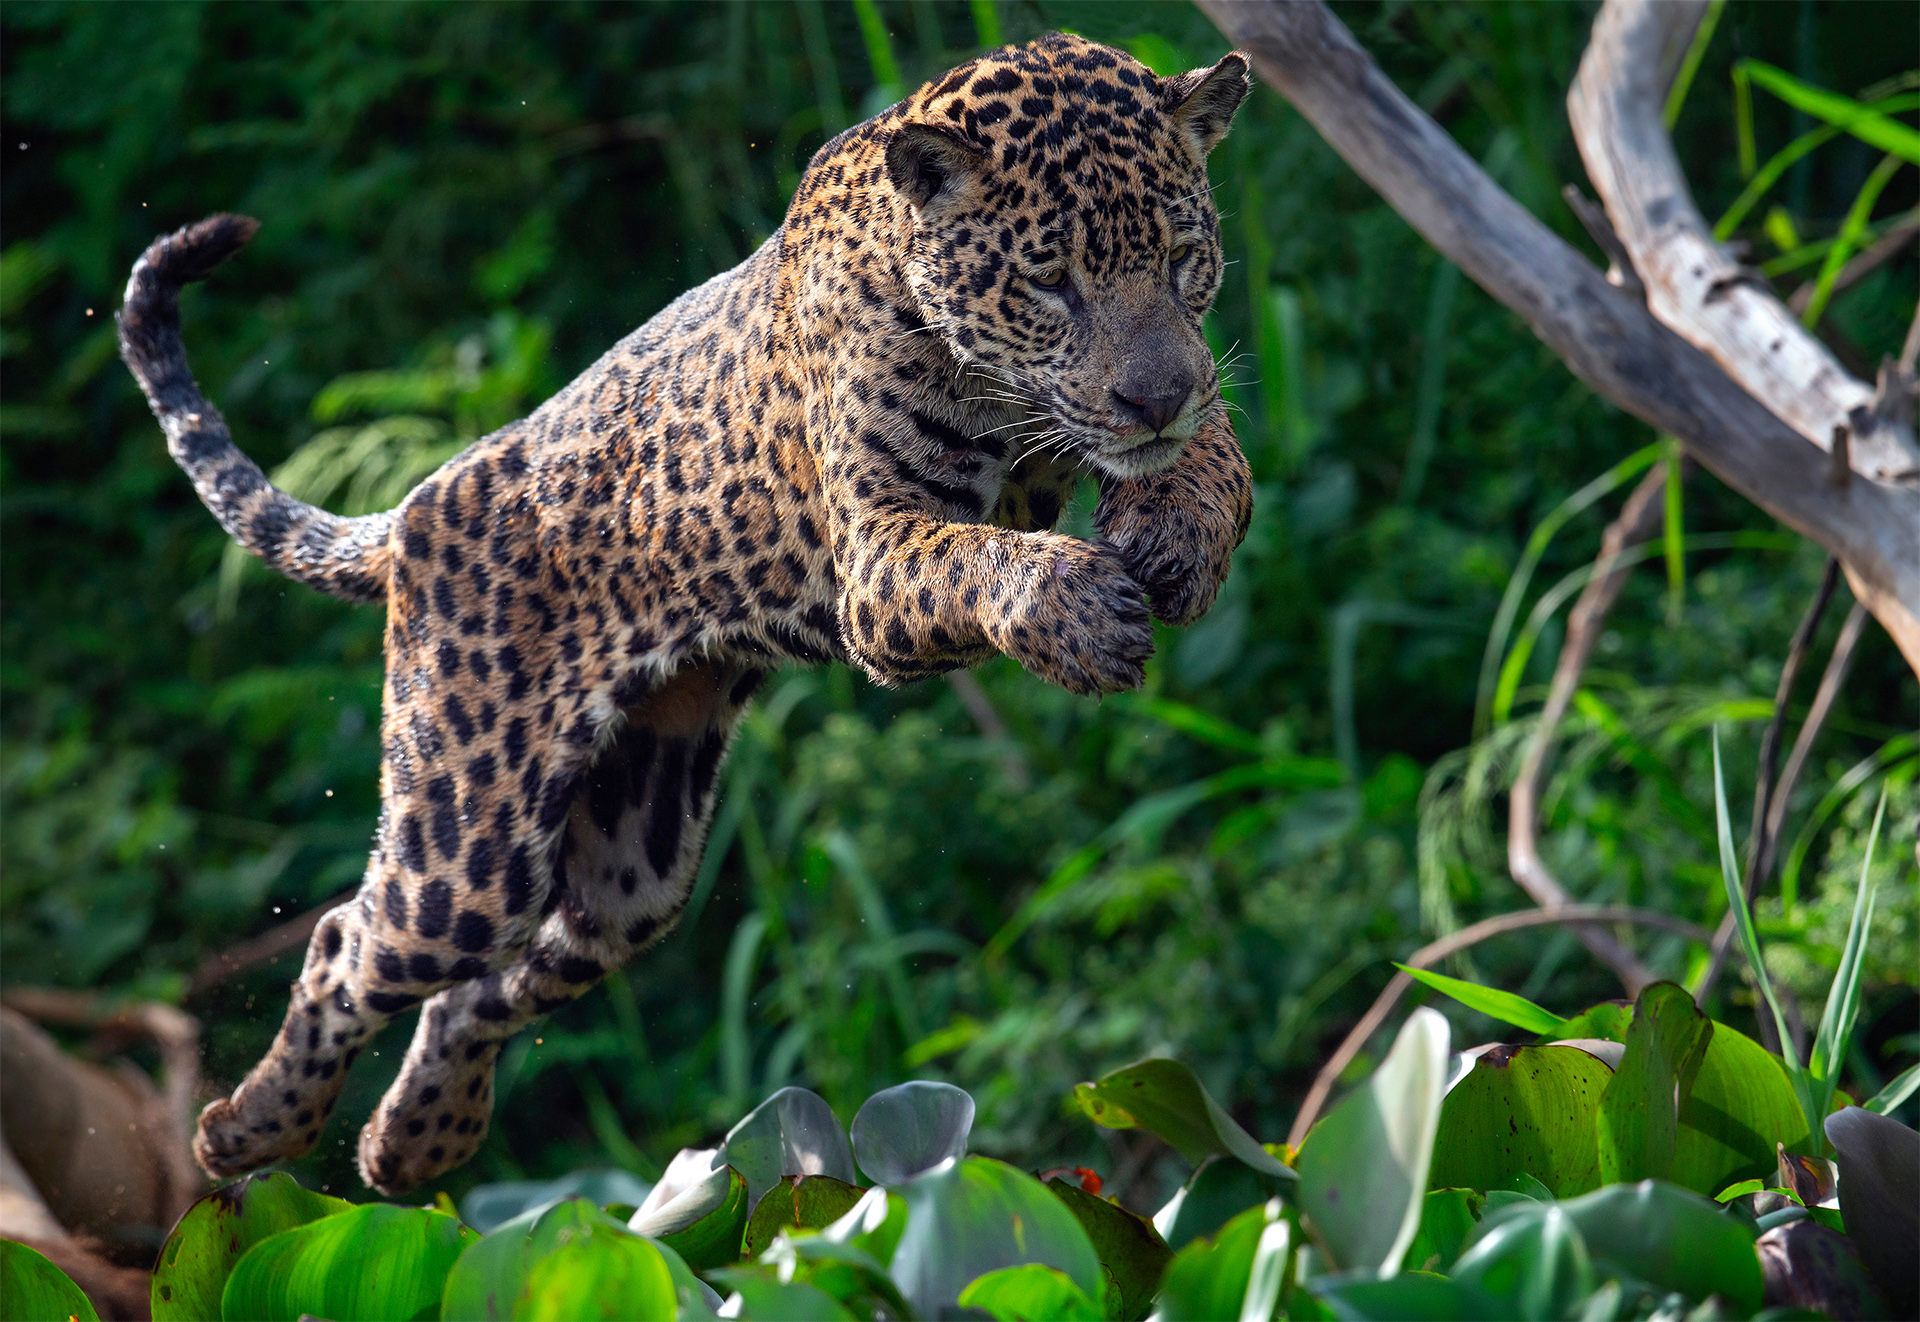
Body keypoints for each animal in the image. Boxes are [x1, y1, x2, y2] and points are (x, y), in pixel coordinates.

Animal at [117, 32, 1254, 1195]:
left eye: (1182, 257)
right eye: (1049, 281)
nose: (1152, 398)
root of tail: (428, 496)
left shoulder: (1174, 402)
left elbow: (1220, 460)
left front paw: (1177, 538)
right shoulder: (875, 557)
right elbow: (978, 556)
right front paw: (1081, 610)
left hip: (639, 853)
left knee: (494, 986)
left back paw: (411, 1141)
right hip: (466, 847)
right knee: (350, 943)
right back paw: (248, 1129)